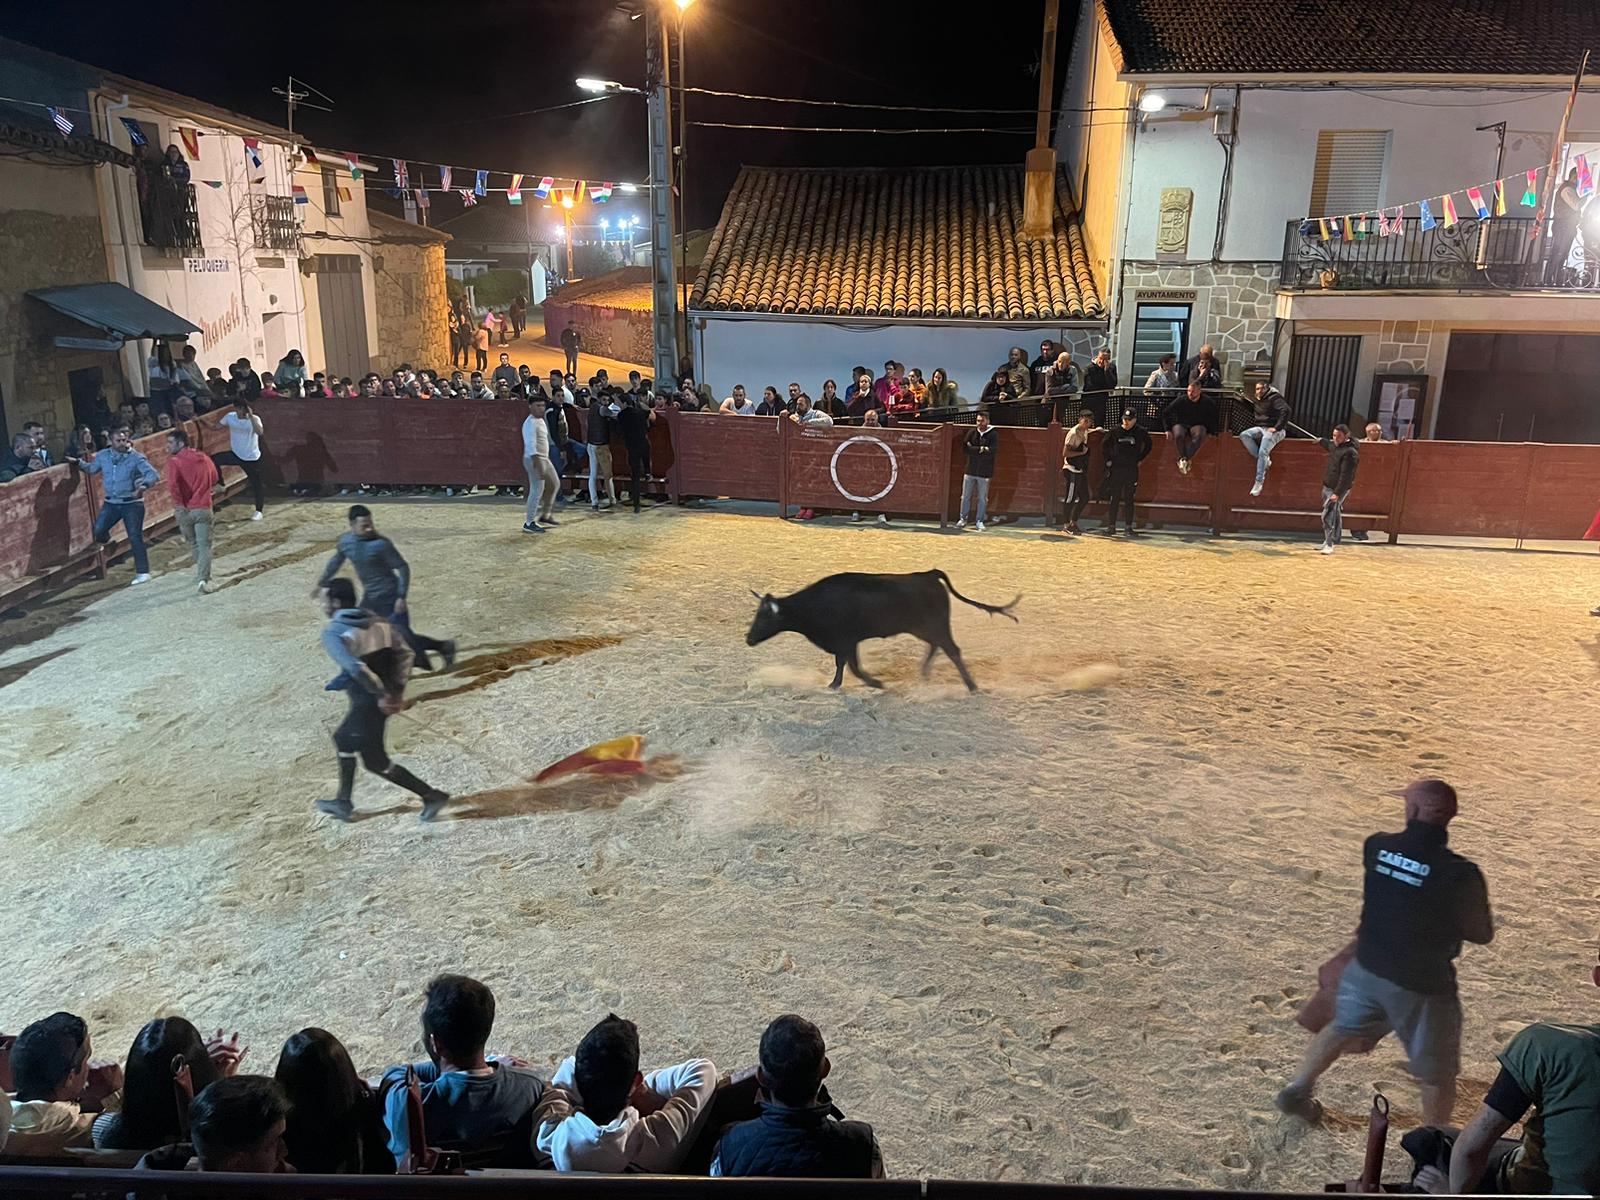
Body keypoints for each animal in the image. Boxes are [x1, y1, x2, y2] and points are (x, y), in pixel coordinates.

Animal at [742, 572, 1017, 694]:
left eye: (764, 617)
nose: (749, 639)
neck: (814, 605)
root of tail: (928, 574)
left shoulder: (846, 641)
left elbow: (852, 666)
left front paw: (875, 683)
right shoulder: (844, 644)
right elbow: (843, 665)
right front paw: (834, 684)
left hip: (937, 625)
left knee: (952, 650)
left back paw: (971, 686)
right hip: (922, 628)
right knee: (936, 646)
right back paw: (925, 673)